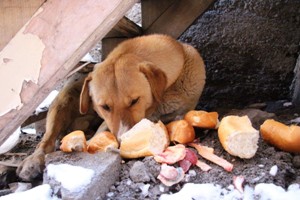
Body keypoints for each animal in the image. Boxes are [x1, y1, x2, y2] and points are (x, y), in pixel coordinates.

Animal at [16, 33, 205, 180]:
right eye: (105, 106)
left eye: (134, 101)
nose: (122, 141)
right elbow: (102, 130)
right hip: (62, 102)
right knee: (47, 140)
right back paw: (33, 161)